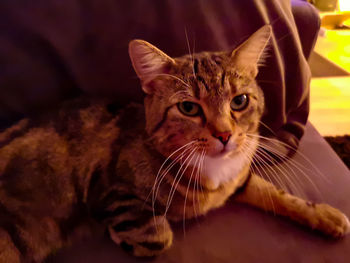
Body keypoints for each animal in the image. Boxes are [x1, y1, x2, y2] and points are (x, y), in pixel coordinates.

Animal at [0, 24, 348, 262]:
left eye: (240, 101)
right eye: (189, 108)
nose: (224, 135)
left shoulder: (239, 179)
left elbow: (275, 193)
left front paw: (324, 215)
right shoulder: (113, 193)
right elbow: (158, 235)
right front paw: (119, 235)